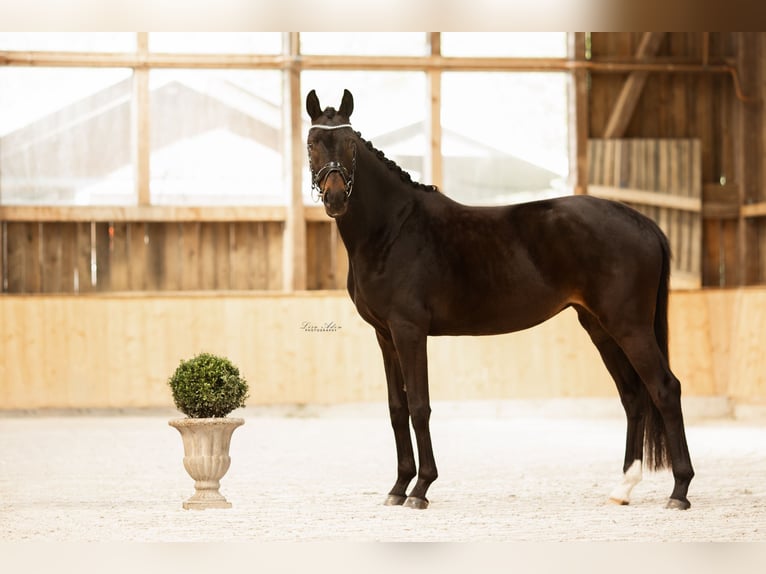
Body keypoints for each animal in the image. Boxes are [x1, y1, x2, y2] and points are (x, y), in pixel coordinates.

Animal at [305, 88, 694, 510]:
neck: (393, 229)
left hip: (630, 327)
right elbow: (397, 409)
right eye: (312, 144)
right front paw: (398, 486)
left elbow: (419, 406)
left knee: (665, 390)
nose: (336, 198)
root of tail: (645, 223)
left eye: (350, 144)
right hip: (600, 328)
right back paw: (623, 488)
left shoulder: (409, 331)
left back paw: (679, 491)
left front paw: (421, 488)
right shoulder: (385, 335)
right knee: (633, 396)